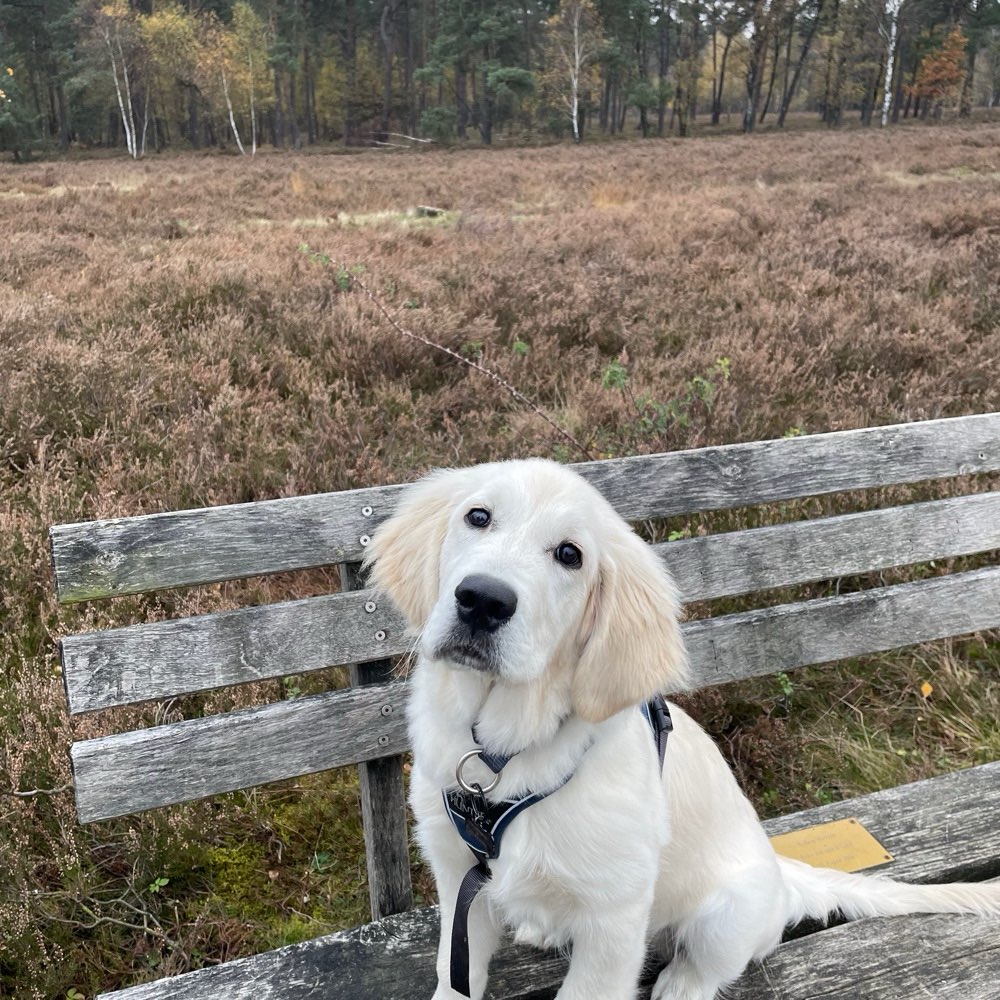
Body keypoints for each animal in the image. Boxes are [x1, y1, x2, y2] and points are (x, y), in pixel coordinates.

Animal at [364, 460, 1000, 1000]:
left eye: (570, 554)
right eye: (478, 516)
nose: (481, 600)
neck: (501, 757)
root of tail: (781, 874)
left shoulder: (614, 922)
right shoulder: (458, 879)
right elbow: (456, 972)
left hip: (726, 915)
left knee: (707, 965)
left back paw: (681, 982)